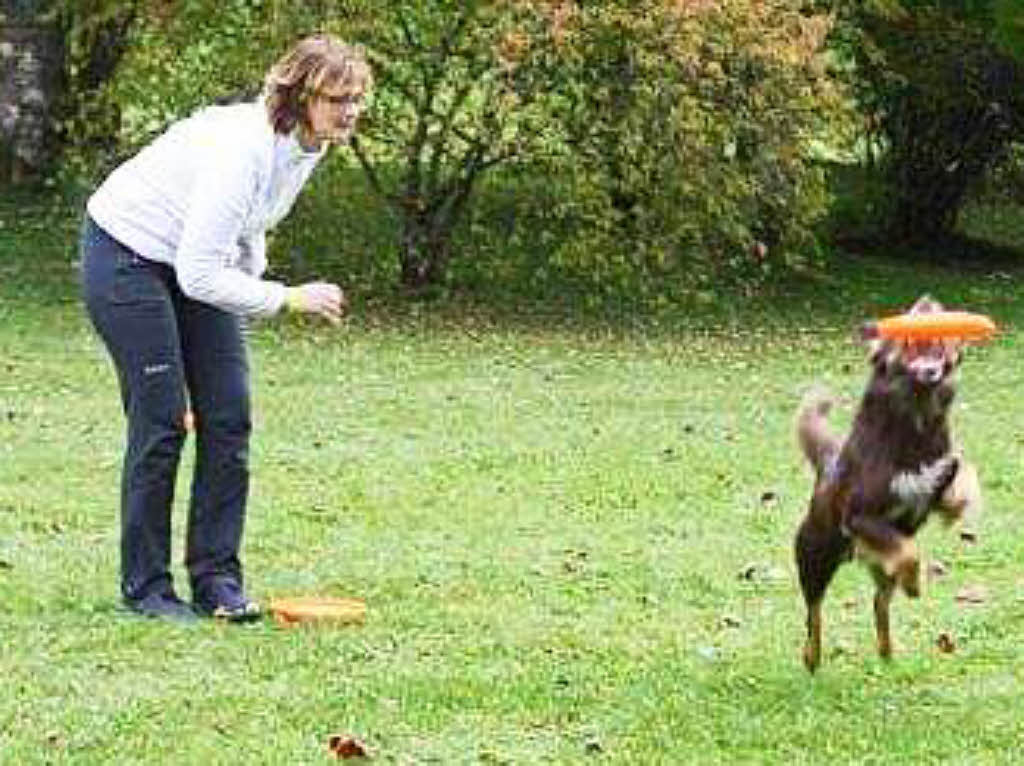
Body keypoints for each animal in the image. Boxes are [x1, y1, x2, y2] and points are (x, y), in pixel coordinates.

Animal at [790, 292, 983, 671]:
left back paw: (887, 653)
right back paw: (812, 656)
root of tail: (825, 469)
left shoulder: (937, 479)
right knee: (813, 613)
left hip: (875, 567)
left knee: (879, 603)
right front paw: (914, 582)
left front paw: (958, 507)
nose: (928, 301)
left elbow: (961, 478)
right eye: (909, 316)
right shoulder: (860, 516)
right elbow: (909, 551)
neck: (915, 421)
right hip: (815, 557)